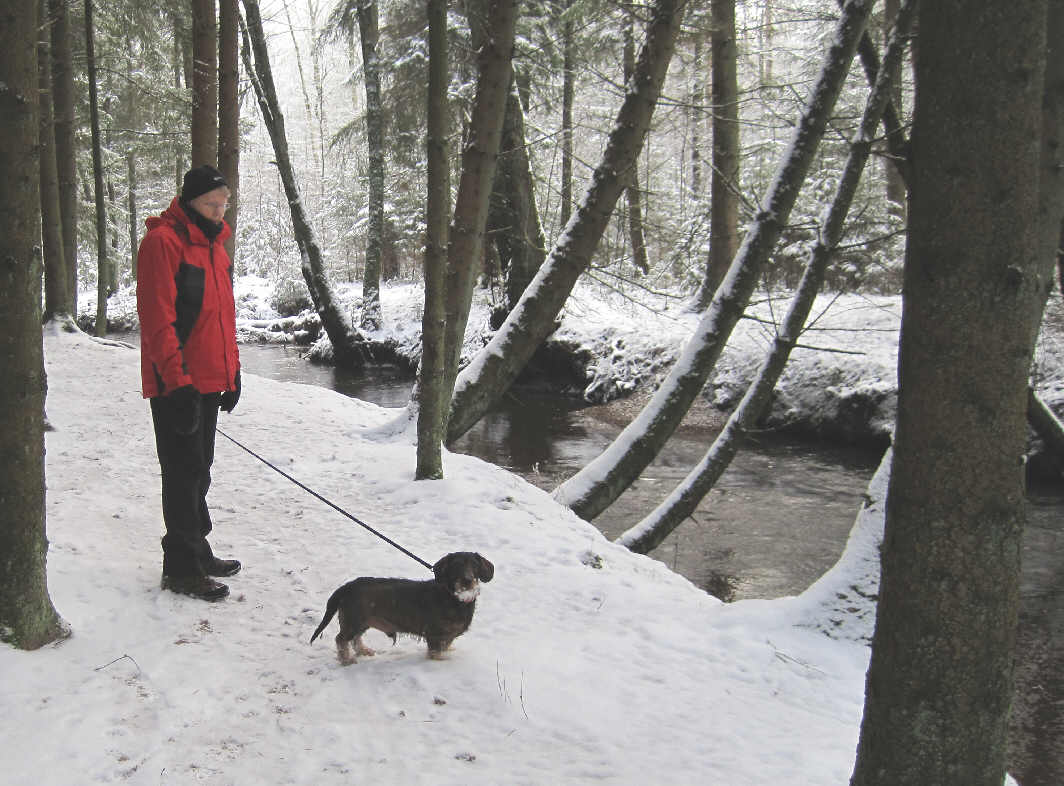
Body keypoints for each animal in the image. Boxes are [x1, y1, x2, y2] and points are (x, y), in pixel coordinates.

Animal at [310, 552, 494, 664]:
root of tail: (346, 587)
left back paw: (364, 651)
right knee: (341, 639)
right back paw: (346, 660)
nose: (467, 581)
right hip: (353, 621)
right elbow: (435, 654)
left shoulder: (446, 637)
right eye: (455, 566)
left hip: (362, 622)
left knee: (355, 639)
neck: (453, 598)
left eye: (474, 565)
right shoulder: (434, 636)